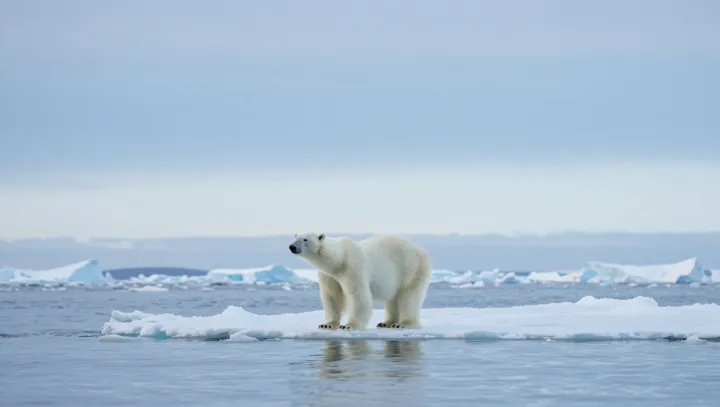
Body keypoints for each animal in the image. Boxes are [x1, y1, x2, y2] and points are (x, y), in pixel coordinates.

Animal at [288, 233, 432, 330]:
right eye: (296, 237)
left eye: (305, 239)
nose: (292, 246)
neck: (339, 260)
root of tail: (422, 250)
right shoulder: (328, 275)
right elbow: (332, 296)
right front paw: (327, 325)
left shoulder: (354, 267)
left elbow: (358, 295)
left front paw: (349, 326)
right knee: (393, 297)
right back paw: (386, 322)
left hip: (411, 268)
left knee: (408, 296)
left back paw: (403, 323)